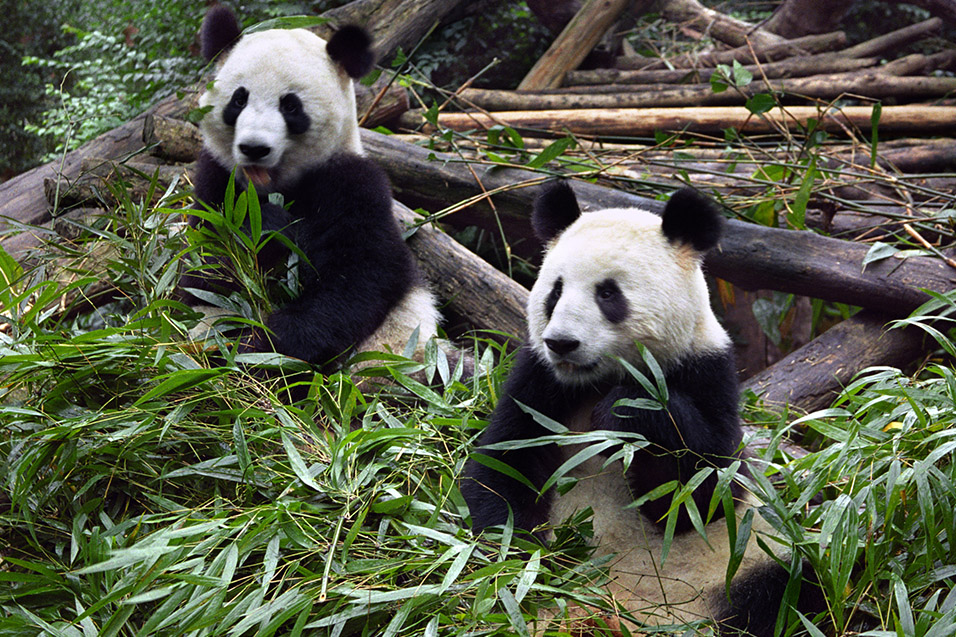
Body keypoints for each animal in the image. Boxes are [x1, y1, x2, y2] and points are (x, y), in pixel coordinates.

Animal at [179, 6, 440, 368]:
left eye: (290, 105)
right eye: (239, 99)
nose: (254, 148)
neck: (274, 186)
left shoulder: (351, 184)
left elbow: (359, 278)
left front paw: (264, 347)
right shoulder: (216, 181)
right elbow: (204, 272)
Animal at [462, 181, 820, 632]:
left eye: (607, 293)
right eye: (555, 291)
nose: (562, 343)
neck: (601, 378)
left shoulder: (706, 371)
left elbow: (704, 493)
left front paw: (624, 413)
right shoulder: (538, 381)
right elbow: (504, 466)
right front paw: (520, 566)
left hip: (746, 560)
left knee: (789, 590)